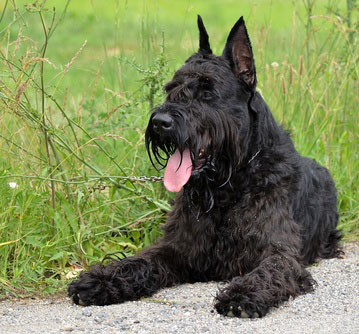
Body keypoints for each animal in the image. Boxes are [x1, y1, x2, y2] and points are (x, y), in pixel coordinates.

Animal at [68, 16, 344, 318]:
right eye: (171, 89)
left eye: (208, 91)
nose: (160, 122)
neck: (229, 186)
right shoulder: (179, 247)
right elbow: (138, 262)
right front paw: (101, 279)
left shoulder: (279, 252)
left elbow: (269, 272)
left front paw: (243, 293)